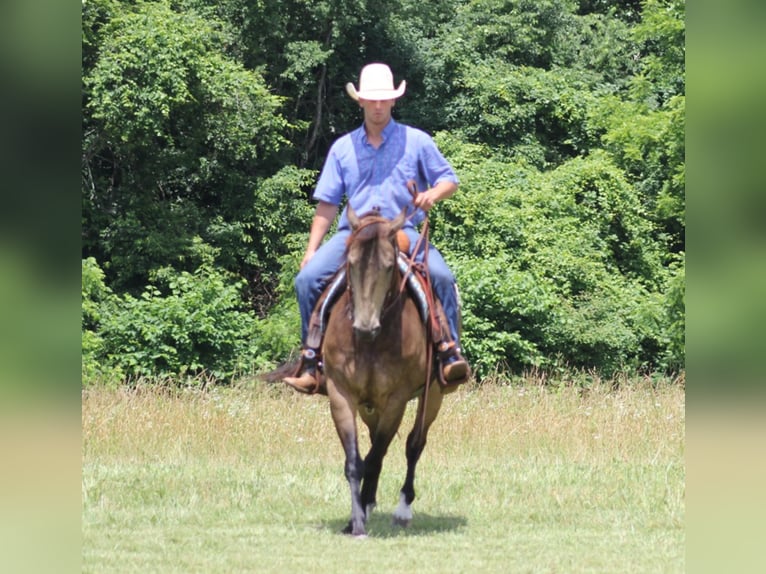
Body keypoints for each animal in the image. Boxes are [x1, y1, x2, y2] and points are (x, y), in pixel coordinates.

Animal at [324, 205, 450, 536]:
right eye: (350, 262)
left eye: (389, 266)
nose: (365, 328)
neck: (371, 343)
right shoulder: (340, 393)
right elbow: (356, 461)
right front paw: (355, 521)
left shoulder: (397, 399)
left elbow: (377, 456)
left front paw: (363, 515)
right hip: (370, 406)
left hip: (432, 396)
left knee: (414, 445)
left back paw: (403, 509)